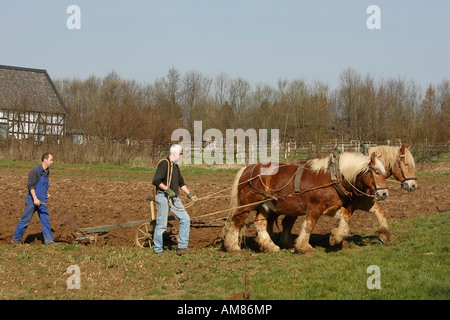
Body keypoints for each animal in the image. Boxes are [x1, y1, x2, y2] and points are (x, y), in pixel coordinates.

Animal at [223, 151, 388, 254]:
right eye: (376, 172)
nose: (384, 193)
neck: (332, 177)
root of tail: (247, 168)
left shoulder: (331, 208)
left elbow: (345, 219)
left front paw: (336, 237)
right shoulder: (315, 208)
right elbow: (309, 226)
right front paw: (304, 247)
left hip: (266, 206)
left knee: (260, 224)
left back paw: (270, 246)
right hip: (246, 204)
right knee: (236, 222)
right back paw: (233, 247)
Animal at [274, 144, 418, 249]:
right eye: (406, 164)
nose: (413, 185)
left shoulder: (364, 203)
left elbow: (380, 212)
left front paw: (383, 235)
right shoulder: (349, 205)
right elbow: (346, 221)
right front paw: (339, 240)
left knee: (286, 222)